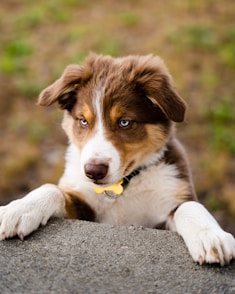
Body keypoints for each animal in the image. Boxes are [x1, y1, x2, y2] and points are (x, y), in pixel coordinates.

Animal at [0, 54, 235, 266]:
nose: (93, 171)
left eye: (124, 122)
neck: (122, 188)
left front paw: (210, 237)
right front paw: (18, 209)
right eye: (83, 121)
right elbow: (53, 190)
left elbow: (189, 207)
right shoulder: (85, 209)